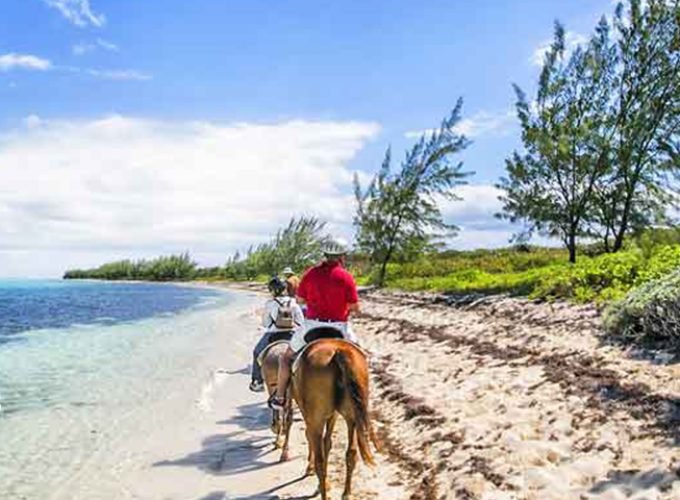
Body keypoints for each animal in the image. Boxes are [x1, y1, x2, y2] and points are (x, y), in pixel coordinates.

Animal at [290, 334, 380, 500]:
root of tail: (338, 351)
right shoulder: (333, 415)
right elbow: (328, 443)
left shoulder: (313, 418)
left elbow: (314, 441)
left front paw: (319, 480)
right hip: (352, 416)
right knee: (351, 453)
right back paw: (346, 493)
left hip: (316, 418)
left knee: (319, 459)